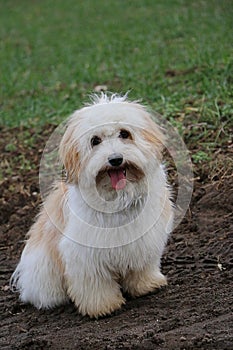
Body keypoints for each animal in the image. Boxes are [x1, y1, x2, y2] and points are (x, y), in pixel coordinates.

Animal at [11, 93, 175, 318]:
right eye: (95, 141)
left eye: (125, 134)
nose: (115, 159)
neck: (118, 197)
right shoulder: (85, 254)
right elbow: (94, 282)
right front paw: (103, 306)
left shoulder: (145, 240)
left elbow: (142, 266)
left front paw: (147, 284)